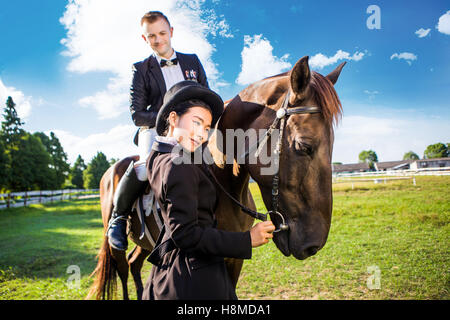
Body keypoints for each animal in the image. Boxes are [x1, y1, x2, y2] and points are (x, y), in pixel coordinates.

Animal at [85, 56, 344, 298]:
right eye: (303, 146)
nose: (314, 245)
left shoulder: (235, 257)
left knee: (134, 263)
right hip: (116, 244)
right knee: (122, 268)